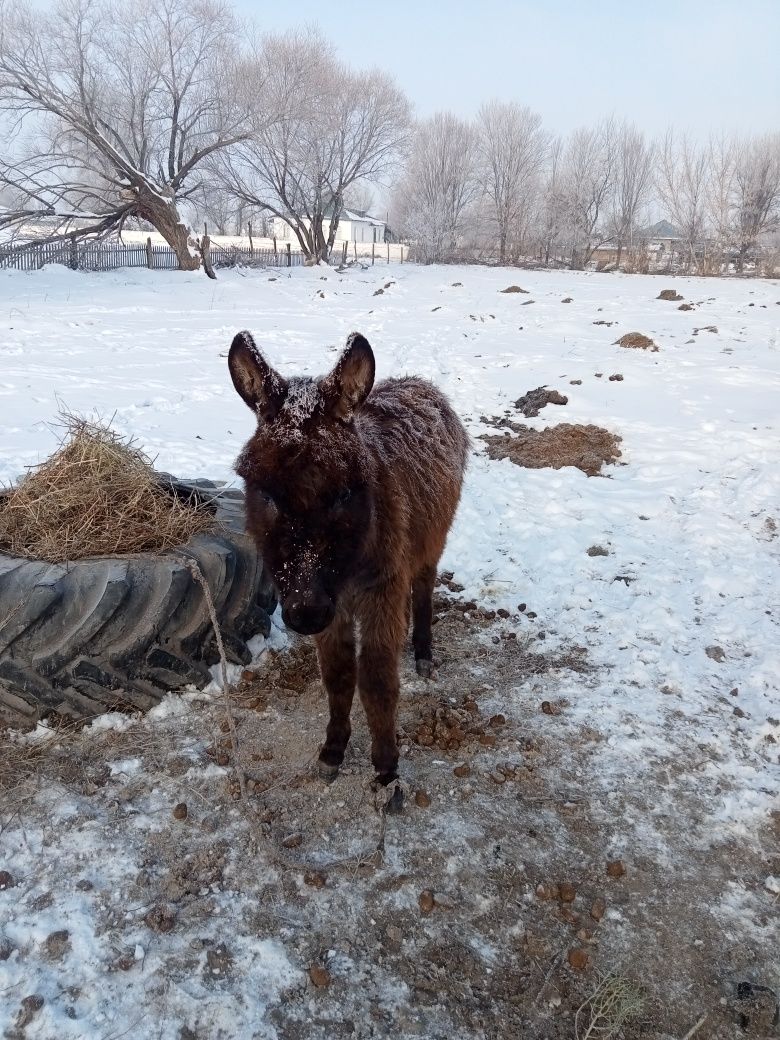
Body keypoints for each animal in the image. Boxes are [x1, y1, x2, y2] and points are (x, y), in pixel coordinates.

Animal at [228, 332, 467, 802]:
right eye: (265, 494)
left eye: (343, 494)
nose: (305, 615)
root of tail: (418, 382)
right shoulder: (333, 604)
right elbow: (338, 675)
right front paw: (333, 751)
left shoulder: (378, 591)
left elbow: (376, 680)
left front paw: (387, 769)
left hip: (431, 543)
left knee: (423, 589)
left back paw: (423, 652)